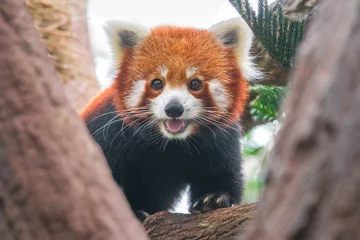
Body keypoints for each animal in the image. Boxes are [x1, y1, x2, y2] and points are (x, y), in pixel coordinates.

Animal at [81, 17, 262, 222]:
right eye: (157, 83)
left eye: (195, 84)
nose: (173, 109)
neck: (171, 143)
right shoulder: (109, 130)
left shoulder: (222, 139)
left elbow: (223, 173)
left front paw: (213, 198)